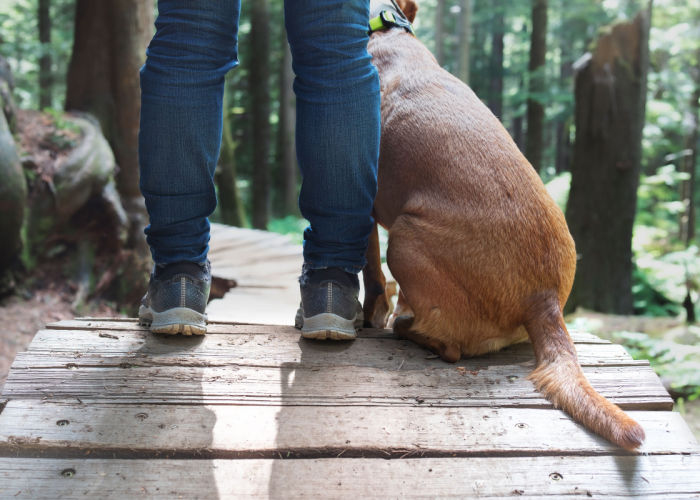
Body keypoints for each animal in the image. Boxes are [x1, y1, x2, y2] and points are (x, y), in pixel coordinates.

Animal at [364, 0, 644, 452]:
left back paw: (409, 329)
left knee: (451, 347)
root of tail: (543, 300)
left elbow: (370, 276)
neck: (385, 31)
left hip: (404, 239)